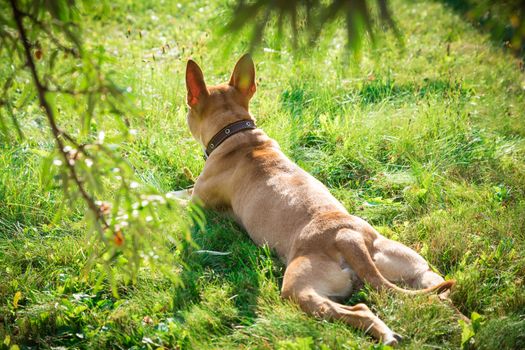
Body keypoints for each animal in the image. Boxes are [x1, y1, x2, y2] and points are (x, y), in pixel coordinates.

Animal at [180, 54, 454, 344]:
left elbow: (174, 196)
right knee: (439, 295)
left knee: (356, 309)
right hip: (415, 268)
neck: (238, 136)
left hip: (298, 287)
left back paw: (385, 334)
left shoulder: (197, 204)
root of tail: (346, 236)